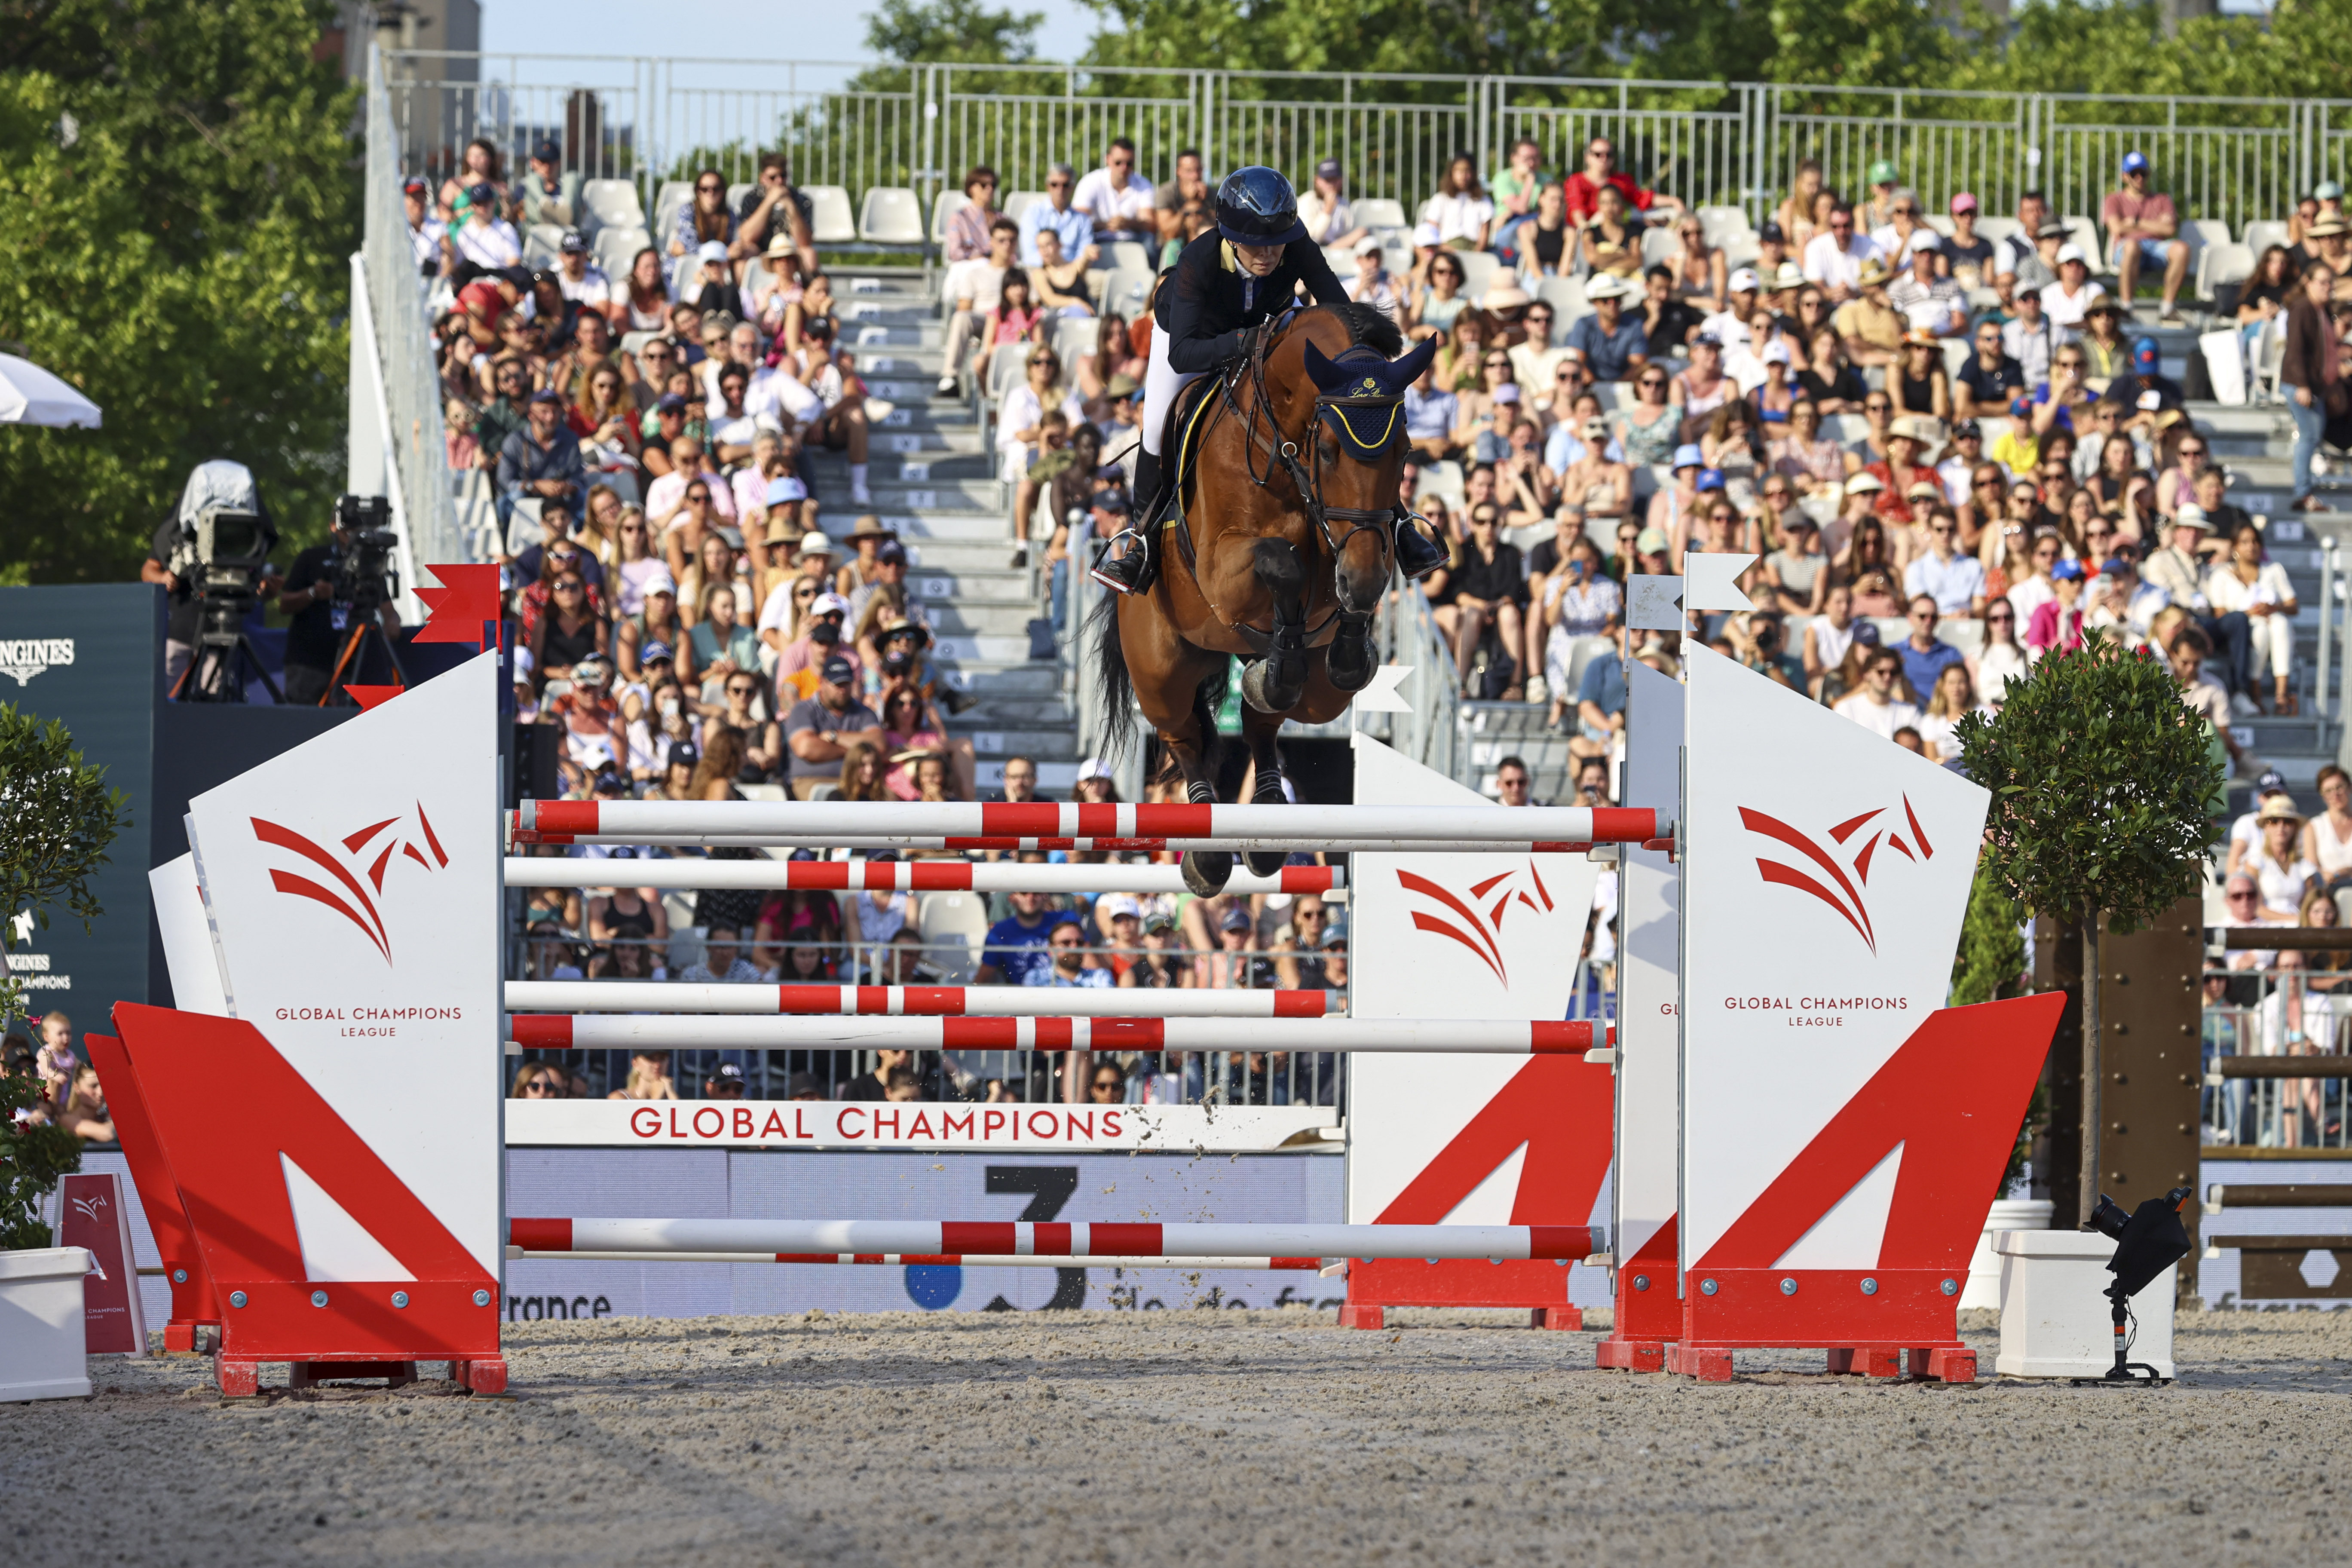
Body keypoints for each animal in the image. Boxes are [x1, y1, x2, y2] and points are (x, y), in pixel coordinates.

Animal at [1082, 303, 1430, 893]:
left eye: (1404, 451)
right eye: (1329, 451)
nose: (1358, 581)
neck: (1282, 444)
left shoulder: (1351, 552)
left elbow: (1343, 586)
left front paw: (1348, 648)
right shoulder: (1223, 569)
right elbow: (1281, 561)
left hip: (1308, 698)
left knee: (1262, 720)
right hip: (1161, 672)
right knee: (1185, 737)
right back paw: (1208, 853)